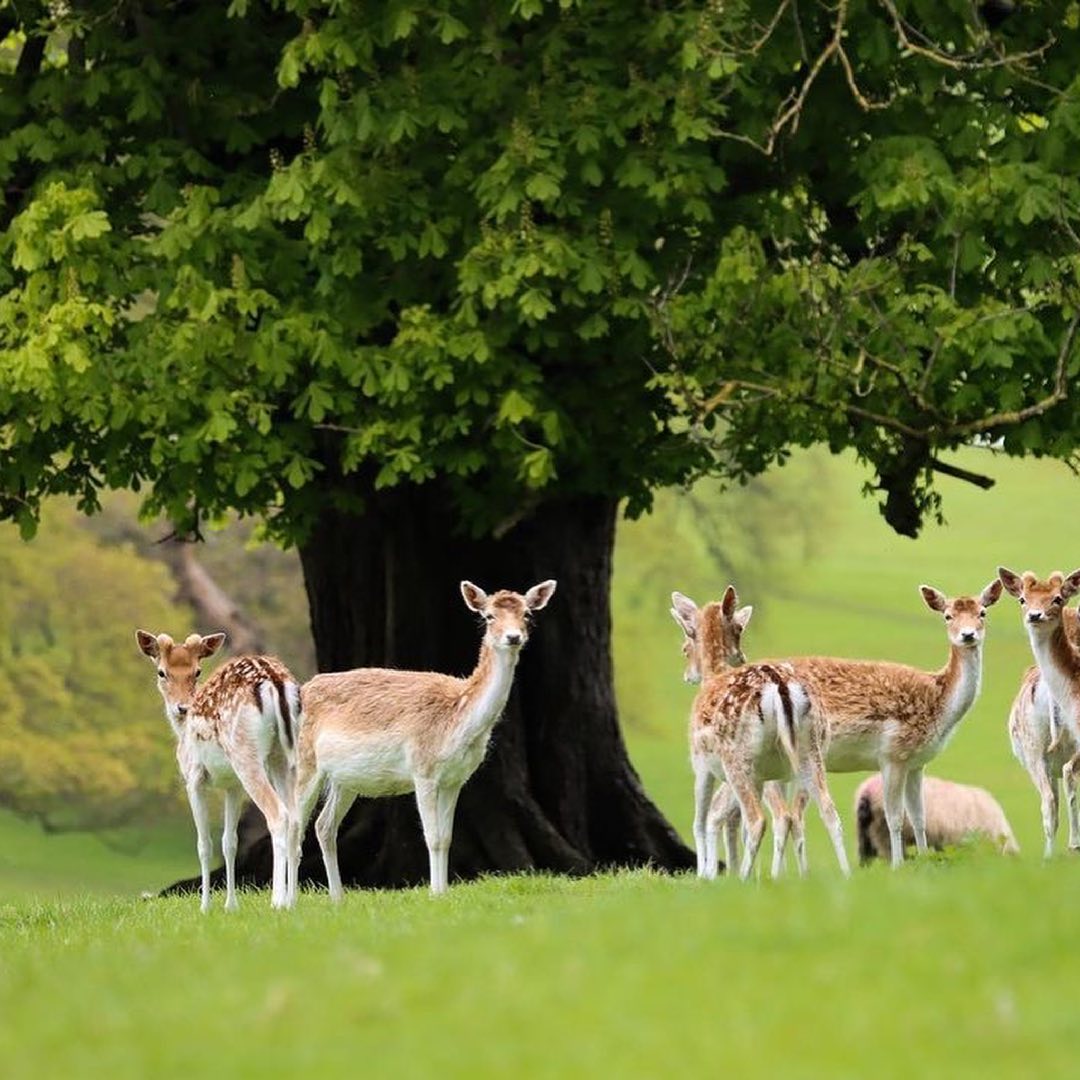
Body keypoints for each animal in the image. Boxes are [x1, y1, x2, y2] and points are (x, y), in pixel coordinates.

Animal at [136, 631, 301, 912]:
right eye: (162, 672)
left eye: (197, 671)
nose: (181, 707)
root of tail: (274, 682)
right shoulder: (232, 785)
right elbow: (229, 842)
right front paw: (231, 906)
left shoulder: (194, 778)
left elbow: (204, 844)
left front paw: (205, 907)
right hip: (285, 755)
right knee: (297, 817)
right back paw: (292, 901)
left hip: (246, 755)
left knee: (279, 815)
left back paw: (277, 901)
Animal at [287, 579, 556, 901]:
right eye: (489, 616)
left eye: (527, 613)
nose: (513, 636)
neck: (458, 721)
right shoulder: (423, 770)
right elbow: (432, 836)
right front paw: (435, 894)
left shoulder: (456, 779)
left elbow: (446, 837)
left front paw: (443, 893)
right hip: (305, 763)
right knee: (291, 825)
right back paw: (287, 900)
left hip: (345, 779)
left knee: (324, 825)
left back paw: (337, 898)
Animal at [673, 590, 850, 881]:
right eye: (740, 628)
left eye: (685, 647)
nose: (688, 675)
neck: (713, 675)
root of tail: (779, 685)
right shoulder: (758, 777)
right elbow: (724, 818)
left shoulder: (700, 762)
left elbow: (701, 819)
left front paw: (704, 876)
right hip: (808, 750)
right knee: (828, 811)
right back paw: (846, 875)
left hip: (737, 758)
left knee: (757, 819)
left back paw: (744, 879)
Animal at [997, 568, 1080, 855]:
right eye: (1023, 598)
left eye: (1057, 598)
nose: (1035, 615)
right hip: (1037, 750)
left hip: (1033, 749)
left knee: (1050, 800)